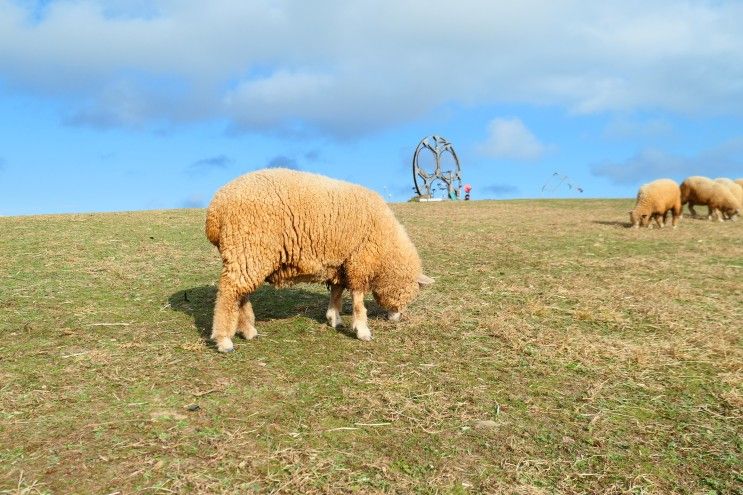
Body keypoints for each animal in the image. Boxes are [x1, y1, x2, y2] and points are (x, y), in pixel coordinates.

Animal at [206, 170, 434, 352]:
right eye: (410, 294)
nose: (396, 319)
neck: (386, 250)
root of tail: (216, 208)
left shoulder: (339, 264)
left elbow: (336, 293)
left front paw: (334, 318)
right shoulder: (358, 262)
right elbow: (358, 301)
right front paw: (362, 330)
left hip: (247, 255)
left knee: (241, 294)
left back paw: (248, 331)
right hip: (248, 247)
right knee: (229, 292)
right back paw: (224, 340)